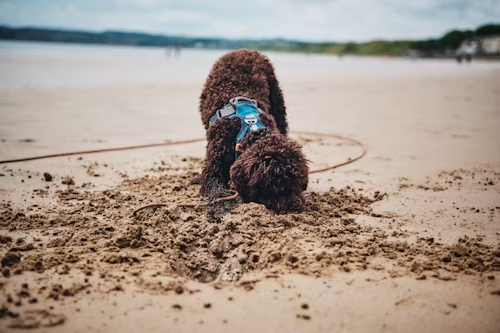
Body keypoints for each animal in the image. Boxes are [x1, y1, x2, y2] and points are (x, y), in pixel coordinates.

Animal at [199, 49, 308, 213]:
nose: (295, 209)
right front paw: (220, 206)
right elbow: (215, 189)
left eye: (297, 183)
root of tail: (243, 50)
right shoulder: (214, 166)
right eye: (276, 186)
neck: (250, 130)